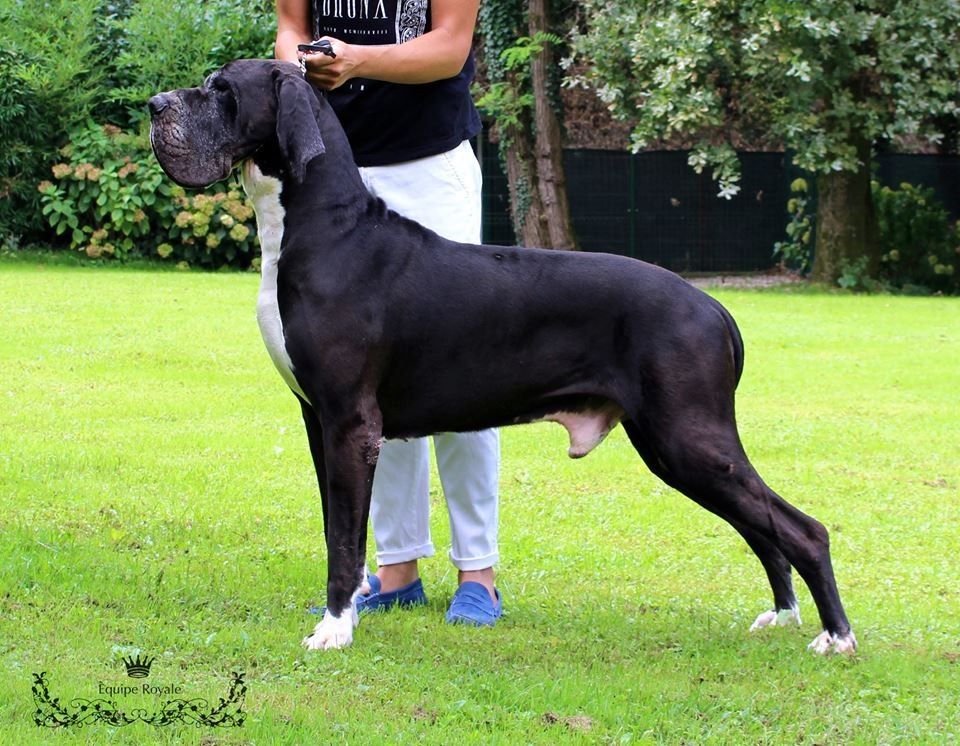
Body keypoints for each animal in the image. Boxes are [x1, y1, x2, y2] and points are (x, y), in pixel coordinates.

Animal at [148, 59, 856, 655]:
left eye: (222, 91)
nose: (155, 105)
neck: (325, 229)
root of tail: (715, 307)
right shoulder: (317, 422)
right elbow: (335, 529)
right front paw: (344, 614)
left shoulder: (350, 424)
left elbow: (346, 537)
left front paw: (334, 631)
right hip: (677, 446)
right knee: (762, 526)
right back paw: (785, 616)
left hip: (687, 438)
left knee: (802, 529)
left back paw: (837, 637)